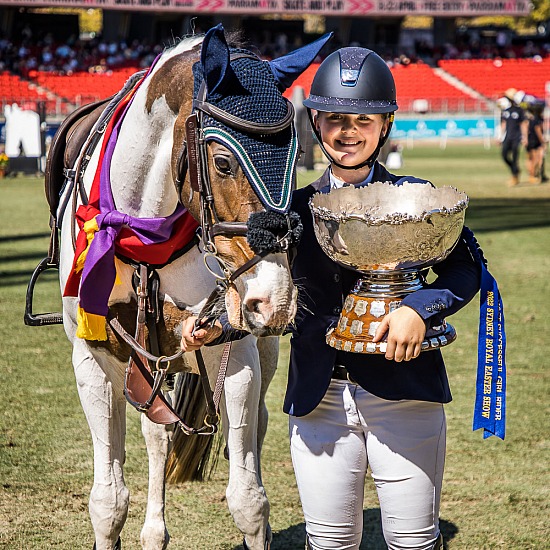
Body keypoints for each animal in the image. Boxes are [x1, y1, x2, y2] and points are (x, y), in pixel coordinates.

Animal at [43, 24, 332, 550]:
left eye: (296, 153)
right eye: (222, 162)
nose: (274, 300)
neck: (142, 230)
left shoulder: (233, 352)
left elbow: (248, 500)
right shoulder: (94, 357)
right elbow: (108, 501)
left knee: (254, 429)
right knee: (156, 436)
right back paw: (154, 530)